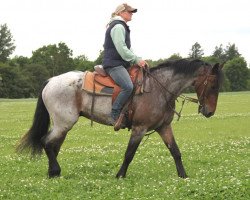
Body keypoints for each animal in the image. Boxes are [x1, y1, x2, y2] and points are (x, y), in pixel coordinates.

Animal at [16, 58, 224, 177]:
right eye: (214, 85)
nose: (209, 112)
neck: (159, 89)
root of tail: (51, 81)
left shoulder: (164, 127)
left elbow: (176, 151)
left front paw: (183, 176)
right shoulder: (139, 129)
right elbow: (129, 154)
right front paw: (120, 175)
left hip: (62, 125)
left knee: (53, 145)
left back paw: (53, 172)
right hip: (64, 123)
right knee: (47, 142)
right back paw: (55, 171)